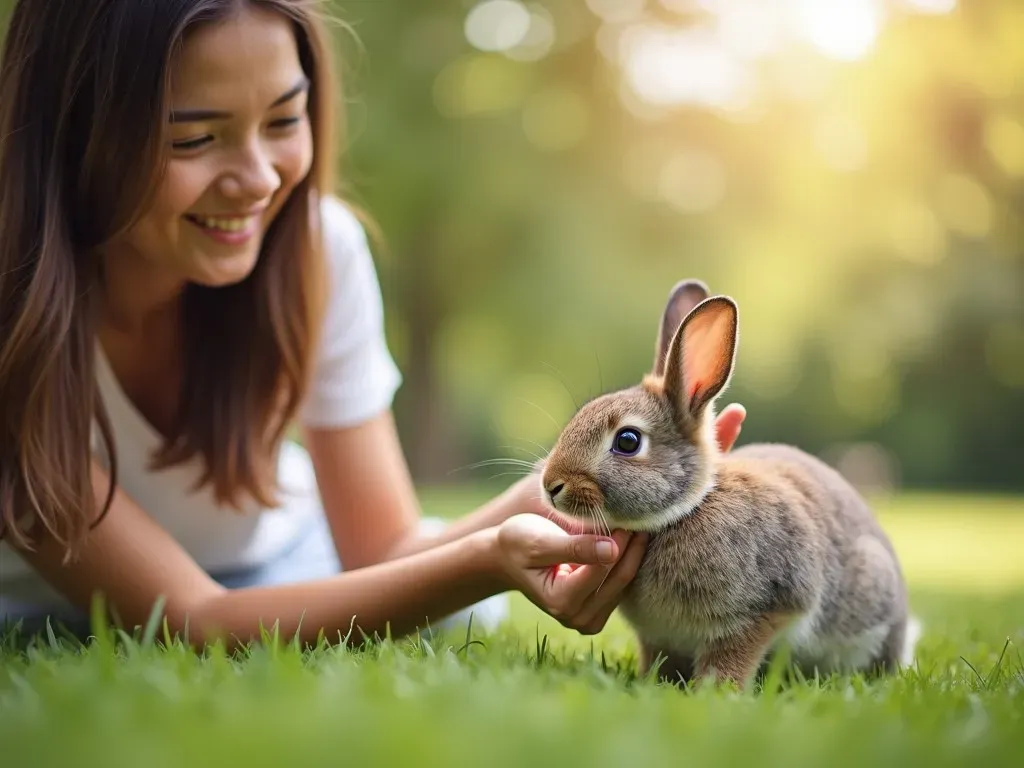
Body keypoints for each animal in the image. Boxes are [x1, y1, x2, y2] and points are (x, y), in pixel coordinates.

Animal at [540, 280, 917, 688]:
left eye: (627, 441)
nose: (550, 485)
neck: (685, 511)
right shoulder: (659, 636)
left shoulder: (762, 611)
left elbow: (732, 658)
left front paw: (716, 692)